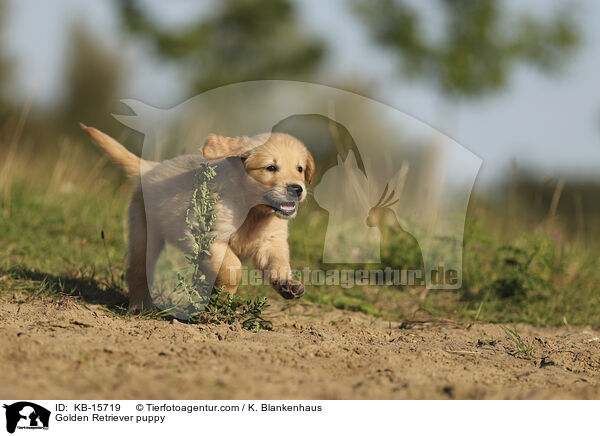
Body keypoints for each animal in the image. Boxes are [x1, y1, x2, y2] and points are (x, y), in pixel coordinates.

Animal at [82, 124, 316, 312]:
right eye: (271, 168)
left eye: (299, 168)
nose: (297, 189)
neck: (254, 211)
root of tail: (150, 167)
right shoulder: (208, 236)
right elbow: (232, 268)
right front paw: (222, 300)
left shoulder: (271, 241)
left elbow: (278, 262)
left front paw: (287, 284)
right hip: (144, 235)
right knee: (137, 272)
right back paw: (140, 306)